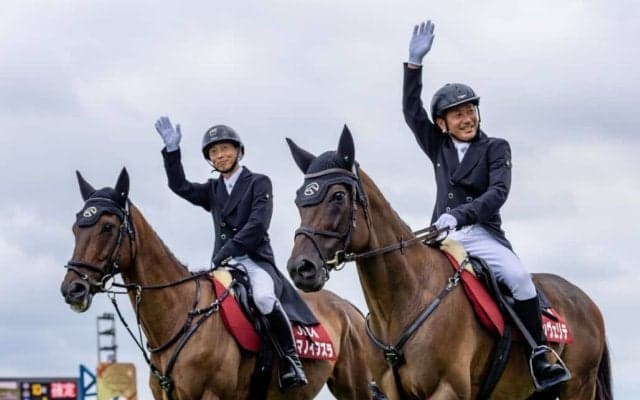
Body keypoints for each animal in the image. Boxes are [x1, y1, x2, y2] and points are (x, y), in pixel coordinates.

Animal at [60, 168, 375, 400]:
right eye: (76, 228)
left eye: (107, 227)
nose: (72, 289)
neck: (180, 315)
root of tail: (349, 309)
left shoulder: (210, 394)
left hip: (355, 387)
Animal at [285, 126, 612, 400]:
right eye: (299, 200)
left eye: (338, 196)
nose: (301, 268)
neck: (405, 298)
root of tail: (586, 301)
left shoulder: (446, 390)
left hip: (577, 387)